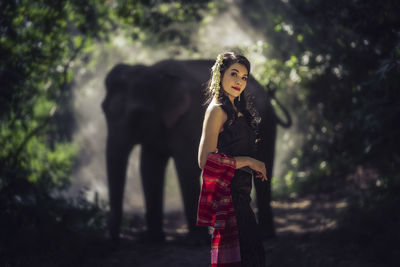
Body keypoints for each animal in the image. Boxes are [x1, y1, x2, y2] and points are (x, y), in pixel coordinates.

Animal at [101, 59, 290, 244]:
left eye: (137, 116)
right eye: (103, 109)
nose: (114, 241)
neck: (155, 72)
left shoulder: (189, 121)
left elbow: (185, 166)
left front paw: (195, 241)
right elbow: (150, 167)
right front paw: (154, 240)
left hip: (267, 123)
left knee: (265, 167)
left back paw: (265, 235)